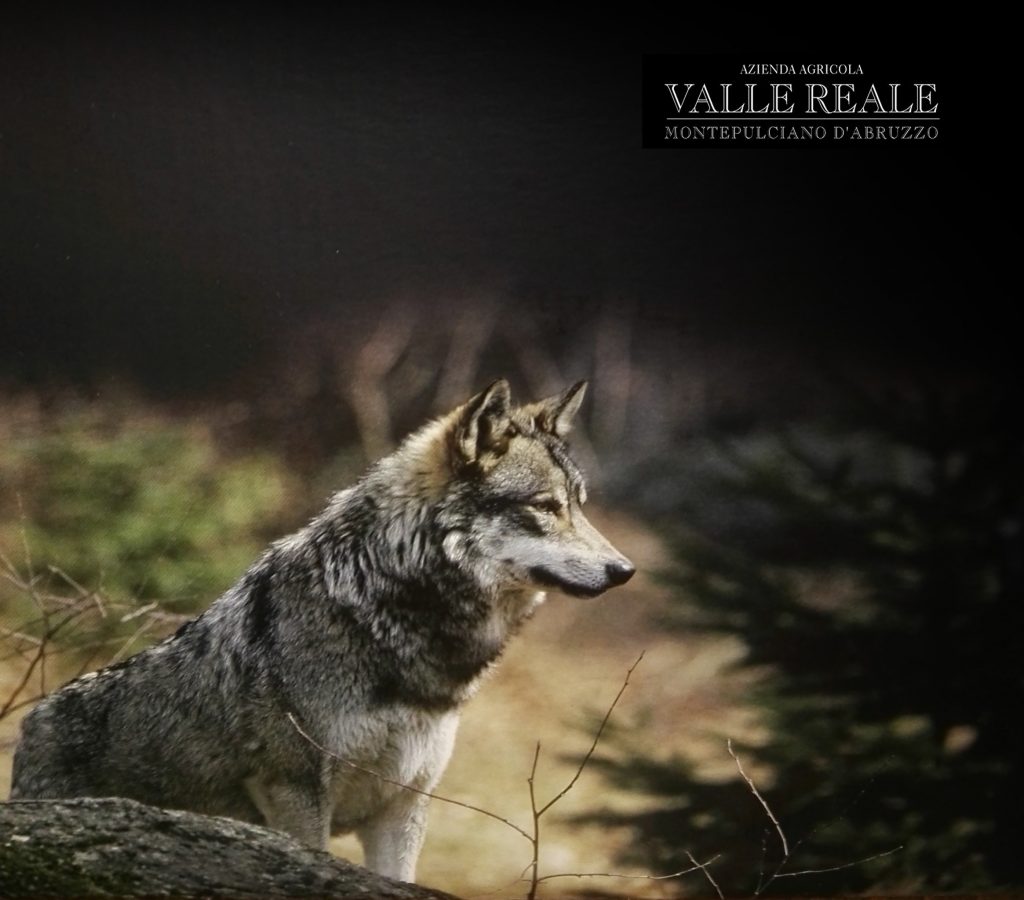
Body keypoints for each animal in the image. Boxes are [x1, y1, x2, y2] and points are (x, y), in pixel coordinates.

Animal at [10, 379, 634, 883]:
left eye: (579, 505)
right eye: (544, 506)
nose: (624, 570)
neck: (380, 614)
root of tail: (30, 723)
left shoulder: (402, 805)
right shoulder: (298, 794)